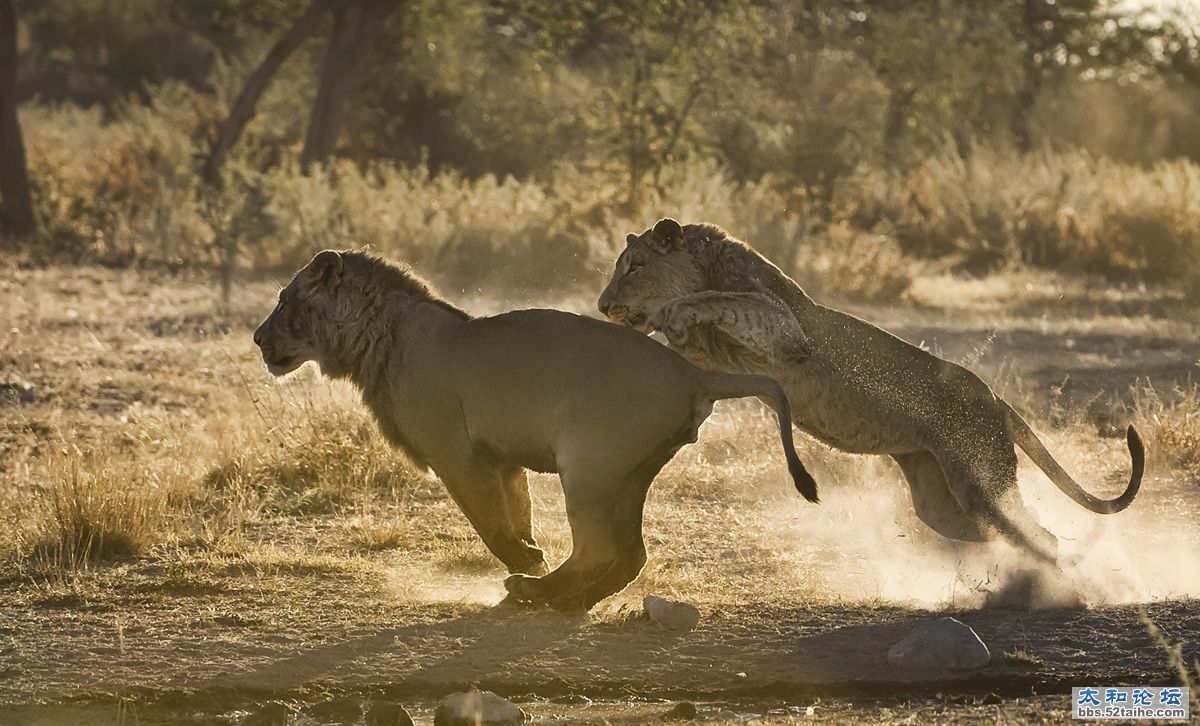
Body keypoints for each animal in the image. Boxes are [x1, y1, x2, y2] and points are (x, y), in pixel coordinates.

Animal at [252, 249, 816, 604]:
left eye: (283, 301)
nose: (257, 339)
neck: (381, 337)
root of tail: (691, 372)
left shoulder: (459, 456)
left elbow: (489, 523)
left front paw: (526, 562)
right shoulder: (501, 458)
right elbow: (515, 511)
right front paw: (529, 553)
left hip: (588, 465)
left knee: (598, 548)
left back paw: (537, 592)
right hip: (628, 474)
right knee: (630, 555)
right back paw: (566, 602)